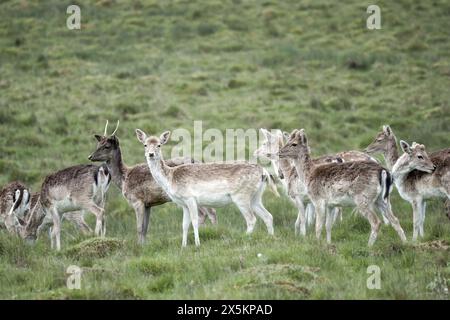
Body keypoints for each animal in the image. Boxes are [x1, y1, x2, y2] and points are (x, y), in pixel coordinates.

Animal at [88, 121, 218, 244]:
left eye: (107, 146)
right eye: (98, 144)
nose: (90, 156)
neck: (124, 178)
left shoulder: (137, 200)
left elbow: (139, 228)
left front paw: (139, 246)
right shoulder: (148, 204)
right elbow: (145, 228)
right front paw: (144, 245)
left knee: (204, 213)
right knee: (211, 211)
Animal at [278, 129, 408, 246]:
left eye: (294, 143)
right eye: (287, 141)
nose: (280, 152)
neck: (308, 175)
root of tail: (384, 171)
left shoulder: (318, 200)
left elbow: (318, 226)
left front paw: (317, 244)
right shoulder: (330, 204)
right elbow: (328, 226)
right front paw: (329, 243)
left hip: (362, 198)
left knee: (376, 222)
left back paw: (369, 246)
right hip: (381, 199)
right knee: (395, 219)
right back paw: (405, 242)